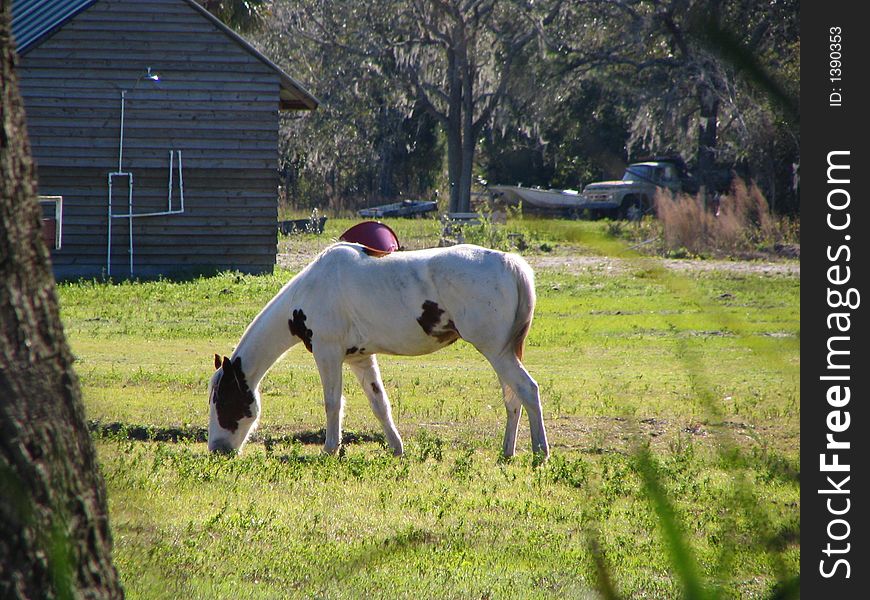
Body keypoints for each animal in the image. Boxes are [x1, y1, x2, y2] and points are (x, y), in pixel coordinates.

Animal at [208, 243, 552, 460]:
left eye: (224, 401)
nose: (217, 450)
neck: (313, 288)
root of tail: (510, 262)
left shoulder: (327, 354)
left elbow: (333, 404)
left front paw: (329, 449)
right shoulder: (360, 358)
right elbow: (380, 404)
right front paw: (396, 449)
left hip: (496, 352)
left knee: (527, 390)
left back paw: (540, 452)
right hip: (503, 354)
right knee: (513, 398)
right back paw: (507, 451)